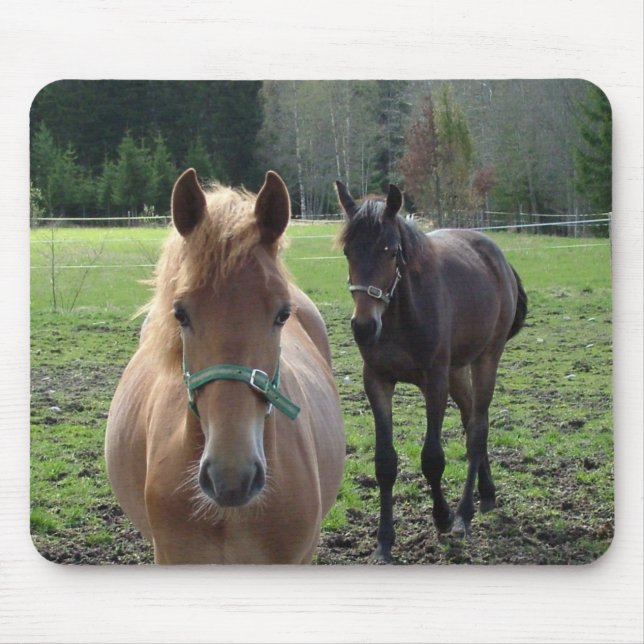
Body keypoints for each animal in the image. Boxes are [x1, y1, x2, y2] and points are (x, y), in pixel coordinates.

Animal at [336, 181, 527, 563]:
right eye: (348, 251)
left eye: (390, 251)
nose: (363, 327)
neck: (400, 316)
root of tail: (498, 257)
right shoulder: (377, 381)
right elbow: (385, 463)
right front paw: (384, 542)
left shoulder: (434, 381)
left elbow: (433, 458)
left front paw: (442, 517)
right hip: (458, 370)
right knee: (472, 420)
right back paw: (487, 494)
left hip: (486, 358)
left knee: (478, 428)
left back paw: (465, 513)